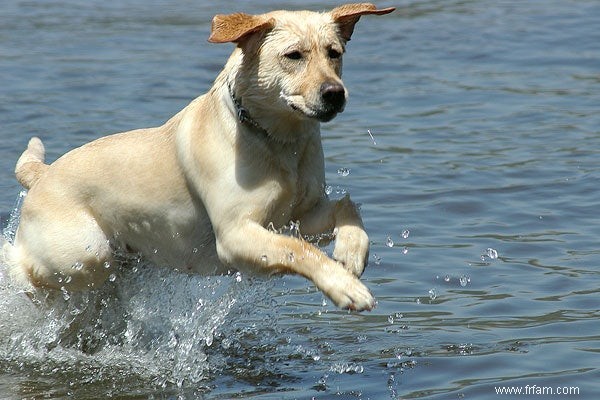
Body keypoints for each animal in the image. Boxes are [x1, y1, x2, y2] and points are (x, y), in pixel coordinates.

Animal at [4, 2, 396, 312]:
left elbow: (346, 207)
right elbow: (297, 251)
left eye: (334, 53)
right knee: (26, 266)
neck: (278, 140)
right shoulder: (237, 234)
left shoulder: (297, 218)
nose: (335, 93)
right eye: (293, 56)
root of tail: (42, 174)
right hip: (84, 253)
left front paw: (350, 254)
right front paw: (347, 288)